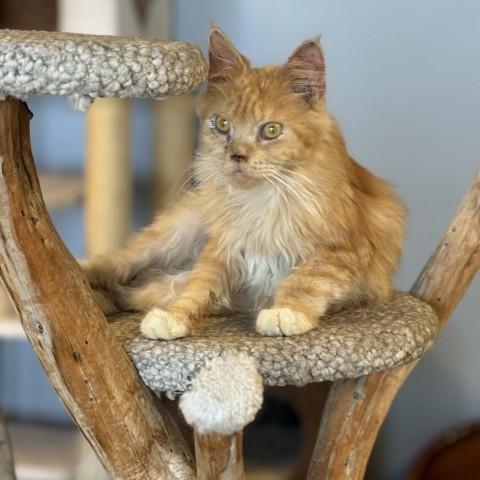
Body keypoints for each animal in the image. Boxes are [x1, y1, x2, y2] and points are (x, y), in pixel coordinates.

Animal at [81, 27, 404, 342]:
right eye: (222, 124)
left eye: (271, 130)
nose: (237, 155)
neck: (261, 200)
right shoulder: (222, 245)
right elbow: (198, 287)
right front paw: (175, 318)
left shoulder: (343, 250)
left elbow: (305, 279)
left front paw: (286, 312)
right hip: (172, 235)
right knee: (118, 263)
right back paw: (82, 274)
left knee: (131, 290)